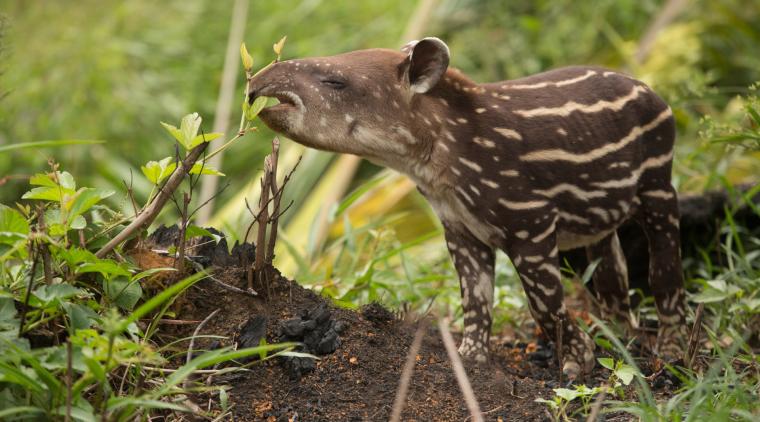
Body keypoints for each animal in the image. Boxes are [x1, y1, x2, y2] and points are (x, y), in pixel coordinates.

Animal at [248, 38, 688, 378]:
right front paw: (469, 359)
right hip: (602, 212)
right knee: (611, 269)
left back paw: (670, 349)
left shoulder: (531, 222)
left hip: (658, 180)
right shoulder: (461, 228)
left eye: (335, 81)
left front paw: (578, 364)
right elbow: (475, 298)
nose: (253, 84)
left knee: (664, 268)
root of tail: (653, 91)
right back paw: (618, 334)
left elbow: (545, 306)